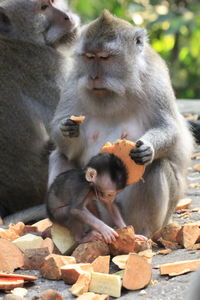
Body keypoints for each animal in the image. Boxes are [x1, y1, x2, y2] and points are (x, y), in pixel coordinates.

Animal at [48, 10, 194, 238]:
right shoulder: (74, 79)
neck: (118, 89)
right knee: (60, 156)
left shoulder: (155, 78)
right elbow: (63, 140)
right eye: (89, 57)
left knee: (156, 166)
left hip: (130, 215)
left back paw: (141, 234)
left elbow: (169, 129)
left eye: (105, 58)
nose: (93, 76)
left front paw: (147, 149)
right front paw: (67, 128)